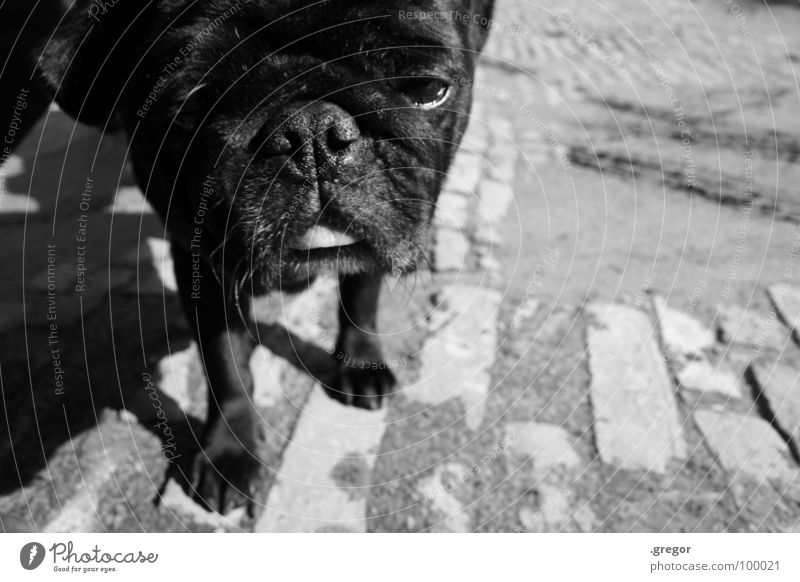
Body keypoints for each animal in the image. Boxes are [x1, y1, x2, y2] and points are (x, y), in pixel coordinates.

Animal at [4, 1, 494, 520]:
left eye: (427, 89)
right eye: (187, 104)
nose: (312, 132)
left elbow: (361, 292)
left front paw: (359, 360)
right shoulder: (202, 263)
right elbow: (225, 363)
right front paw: (231, 452)